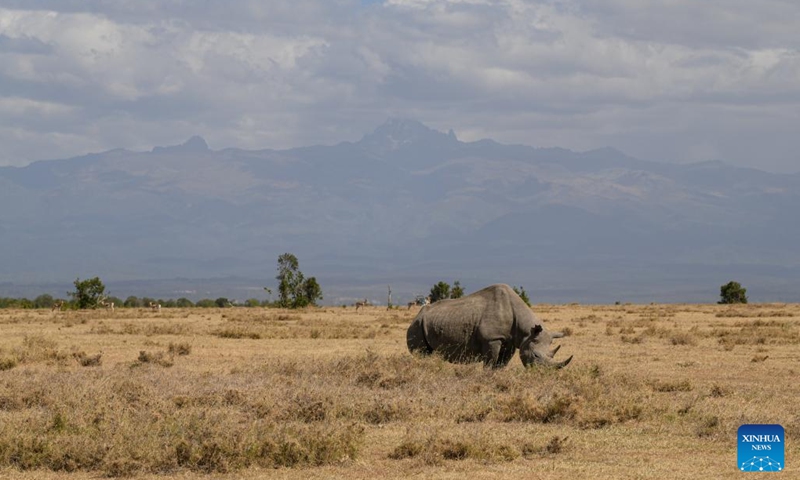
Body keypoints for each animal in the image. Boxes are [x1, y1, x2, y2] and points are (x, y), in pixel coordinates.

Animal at [406, 284, 572, 368]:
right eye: (536, 355)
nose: (544, 374)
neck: (526, 331)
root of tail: (417, 315)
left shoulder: (511, 341)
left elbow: (501, 364)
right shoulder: (492, 339)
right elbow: (490, 362)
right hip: (417, 325)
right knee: (422, 353)